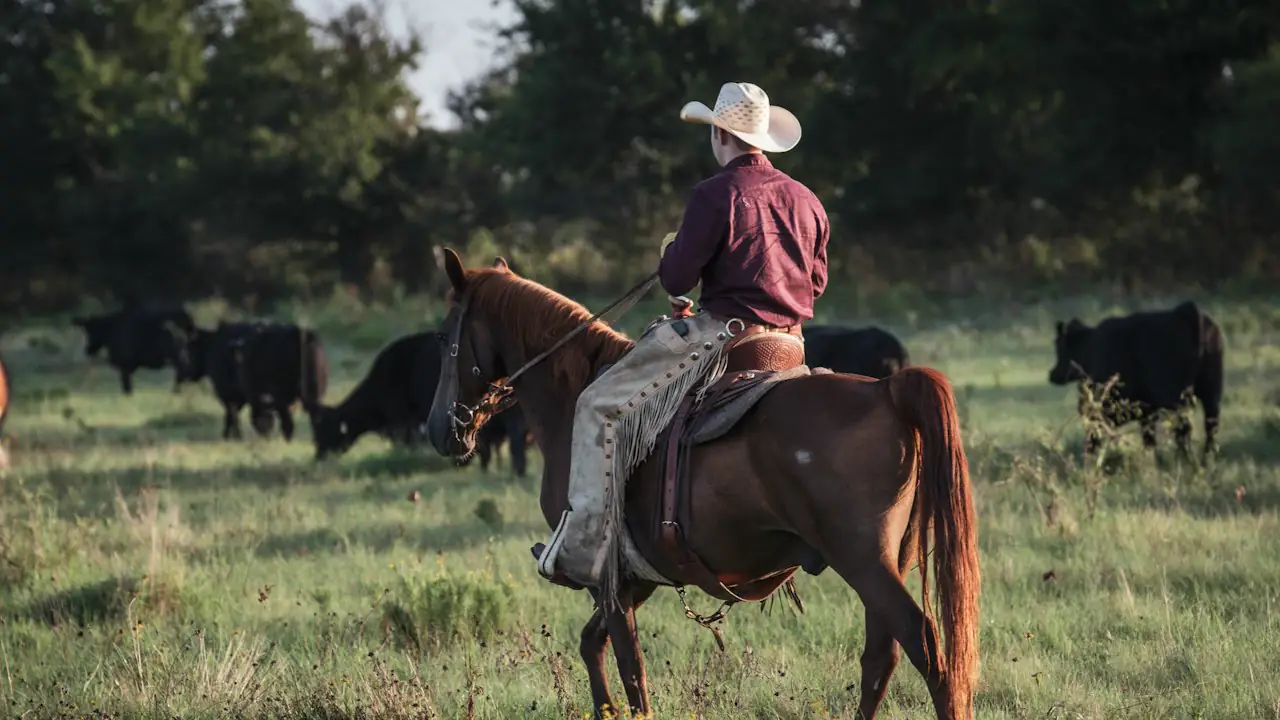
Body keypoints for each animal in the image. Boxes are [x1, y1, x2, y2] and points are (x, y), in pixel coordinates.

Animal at [1048, 300, 1224, 460]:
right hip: (1212, 392)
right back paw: (1207, 459)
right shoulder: (1147, 410)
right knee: (1211, 426)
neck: (1090, 347)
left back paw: (1185, 459)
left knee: (1184, 429)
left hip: (1178, 399)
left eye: (1060, 348)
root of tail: (1187, 310)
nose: (1052, 374)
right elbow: (1149, 439)